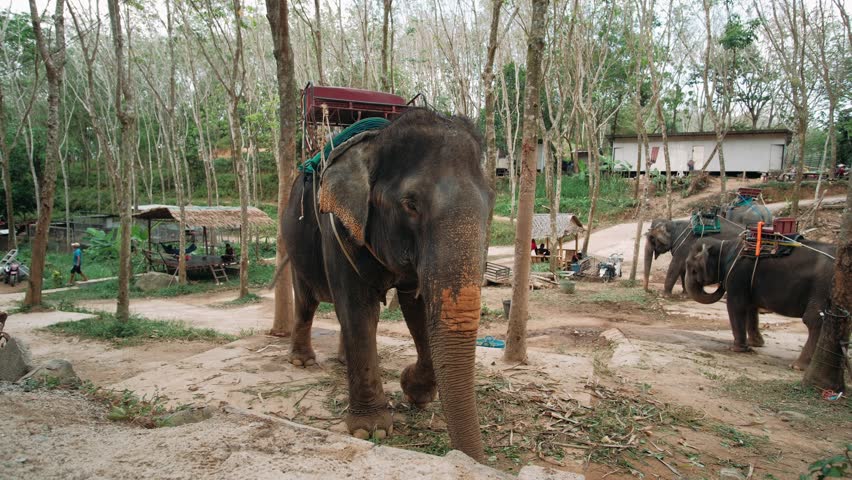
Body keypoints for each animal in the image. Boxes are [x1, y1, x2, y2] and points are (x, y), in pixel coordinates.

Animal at [282, 109, 493, 461]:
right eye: (411, 205)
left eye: (490, 204)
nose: (470, 461)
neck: (377, 143)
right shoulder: (336, 227)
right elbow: (357, 307)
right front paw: (371, 429)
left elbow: (416, 307)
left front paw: (415, 392)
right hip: (294, 245)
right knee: (308, 301)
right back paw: (302, 361)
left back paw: (342, 360)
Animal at [684, 237, 835, 370]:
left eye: (693, 269)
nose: (721, 284)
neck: (724, 244)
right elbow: (751, 307)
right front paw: (756, 343)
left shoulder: (737, 275)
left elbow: (736, 305)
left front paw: (736, 349)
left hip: (822, 288)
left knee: (813, 320)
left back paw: (798, 366)